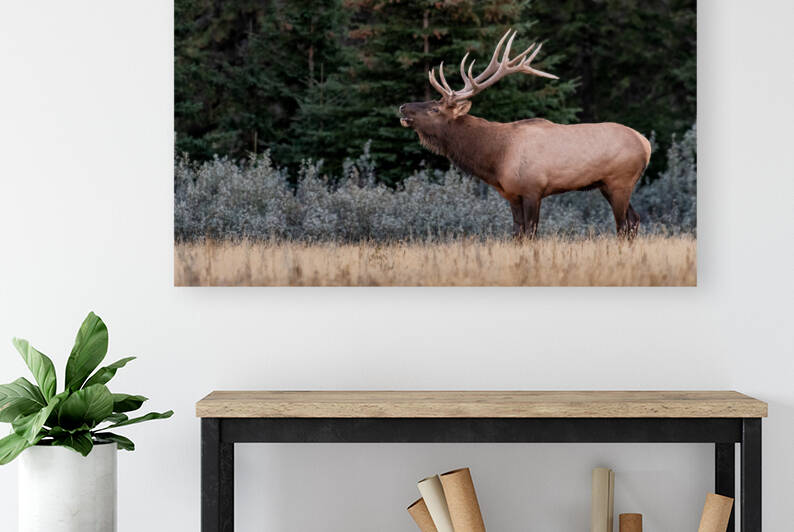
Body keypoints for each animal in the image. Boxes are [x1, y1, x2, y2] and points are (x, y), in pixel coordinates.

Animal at [398, 29, 651, 239]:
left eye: (435, 109)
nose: (402, 107)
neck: (495, 159)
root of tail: (646, 143)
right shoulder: (511, 194)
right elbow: (517, 233)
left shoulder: (533, 189)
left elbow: (530, 233)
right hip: (606, 185)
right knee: (634, 219)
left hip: (620, 181)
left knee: (624, 224)